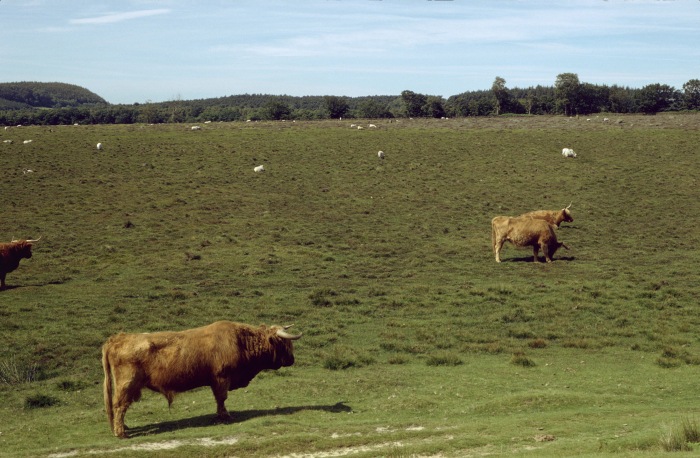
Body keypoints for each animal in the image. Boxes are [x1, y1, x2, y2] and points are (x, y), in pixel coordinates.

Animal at [102, 320, 300, 438]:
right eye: (285, 343)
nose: (292, 360)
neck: (240, 341)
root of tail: (117, 338)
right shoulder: (221, 378)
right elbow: (222, 398)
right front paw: (224, 416)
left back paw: (125, 427)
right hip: (127, 384)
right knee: (119, 406)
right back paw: (121, 432)